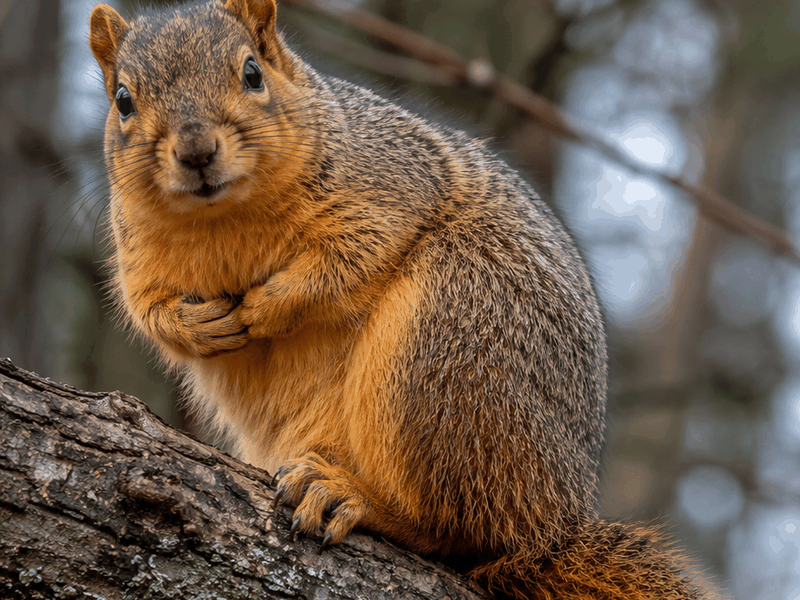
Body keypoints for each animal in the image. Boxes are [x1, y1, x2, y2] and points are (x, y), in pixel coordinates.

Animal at [88, 0, 710, 598]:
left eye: (252, 73)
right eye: (123, 100)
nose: (196, 150)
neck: (222, 217)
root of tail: (552, 523)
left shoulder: (390, 184)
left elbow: (351, 257)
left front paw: (268, 306)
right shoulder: (138, 256)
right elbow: (147, 310)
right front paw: (196, 326)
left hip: (449, 344)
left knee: (455, 529)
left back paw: (355, 498)